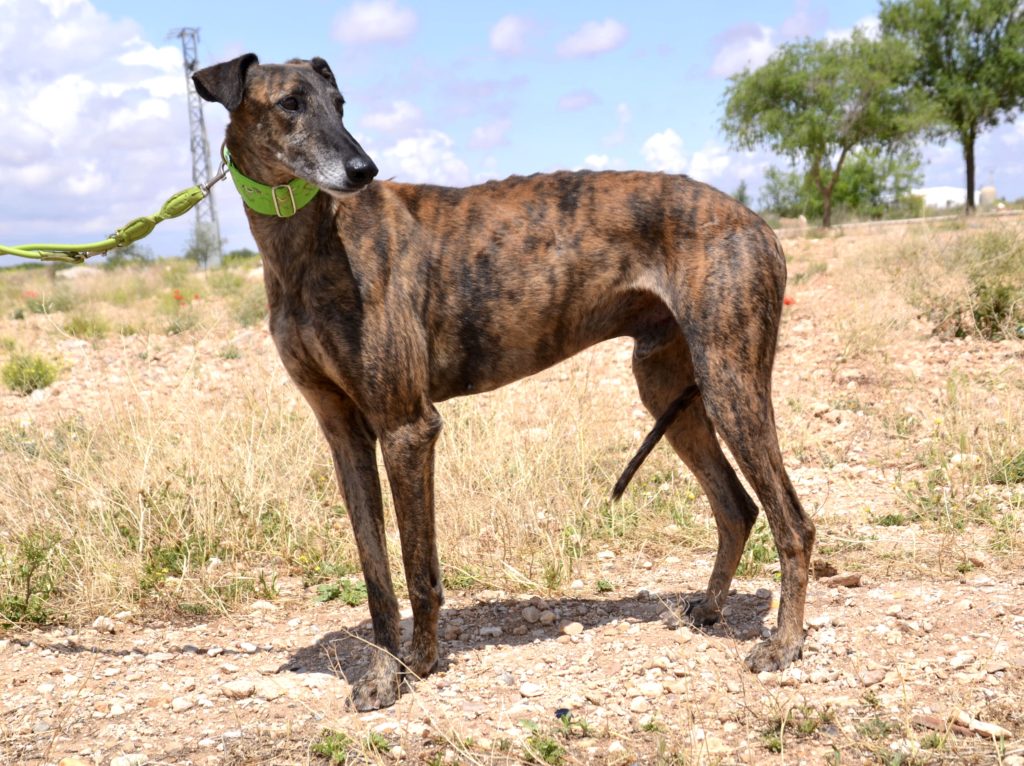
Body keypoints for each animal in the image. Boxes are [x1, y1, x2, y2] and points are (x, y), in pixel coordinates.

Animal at [193, 53, 815, 712]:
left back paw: (784, 644)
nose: (363, 170)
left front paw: (415, 666)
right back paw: (711, 609)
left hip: (730, 381)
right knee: (737, 507)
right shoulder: (344, 434)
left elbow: (418, 571)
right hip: (669, 386)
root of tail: (760, 224)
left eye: (339, 103)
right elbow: (376, 574)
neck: (312, 240)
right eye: (291, 102)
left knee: (793, 523)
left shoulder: (407, 427)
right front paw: (384, 669)